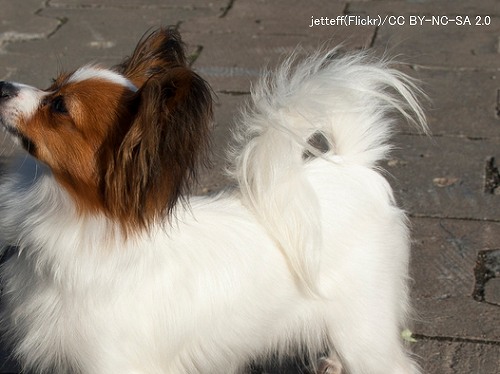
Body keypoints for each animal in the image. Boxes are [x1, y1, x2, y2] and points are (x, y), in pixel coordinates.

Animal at [0, 27, 426, 372]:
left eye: (59, 106)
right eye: (51, 84)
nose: (3, 85)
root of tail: (350, 164)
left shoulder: (113, 362)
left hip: (362, 329)